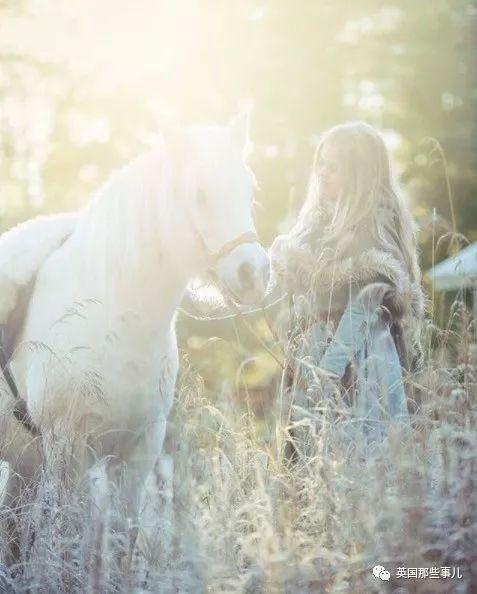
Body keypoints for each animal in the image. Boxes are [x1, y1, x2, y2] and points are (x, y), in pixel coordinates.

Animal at [0, 112, 268, 540]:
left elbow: (125, 534)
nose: (254, 272)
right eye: (199, 193)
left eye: (249, 191)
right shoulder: (68, 452)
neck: (115, 320)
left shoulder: (139, 453)